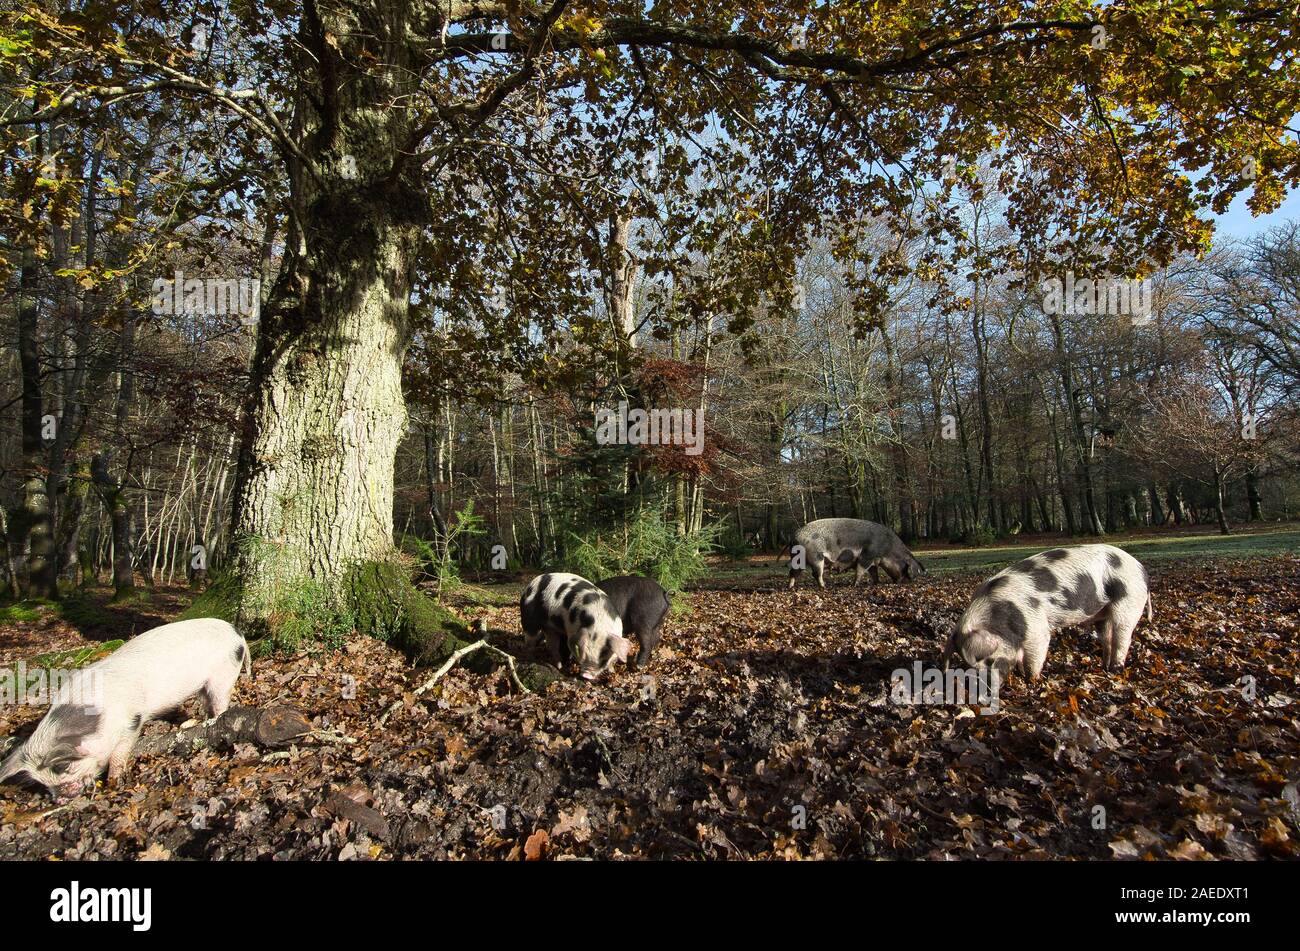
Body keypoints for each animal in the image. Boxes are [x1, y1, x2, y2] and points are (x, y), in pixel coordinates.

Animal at [0, 617, 250, 800]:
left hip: (224, 674)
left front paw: (115, 781)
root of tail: (236, 632)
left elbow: (120, 752)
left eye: (65, 767)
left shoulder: (132, 718)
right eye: (40, 781)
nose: (60, 799)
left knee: (220, 703)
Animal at [786, 517, 925, 589]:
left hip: (799, 560)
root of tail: (795, 535)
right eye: (905, 567)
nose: (907, 581)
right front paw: (854, 585)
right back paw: (824, 587)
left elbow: (874, 573)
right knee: (816, 574)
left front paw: (877, 583)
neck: (888, 549)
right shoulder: (867, 556)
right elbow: (860, 570)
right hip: (816, 557)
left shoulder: (873, 561)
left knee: (793, 572)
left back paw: (790, 587)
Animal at [941, 544, 1152, 696]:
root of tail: (1142, 570)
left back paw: (1116, 670)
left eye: (991, 661)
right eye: (971, 667)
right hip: (1103, 614)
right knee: (1107, 638)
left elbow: (1035, 655)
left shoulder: (1036, 626)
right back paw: (1105, 668)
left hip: (1128, 602)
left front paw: (1032, 681)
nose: (984, 691)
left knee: (1122, 638)